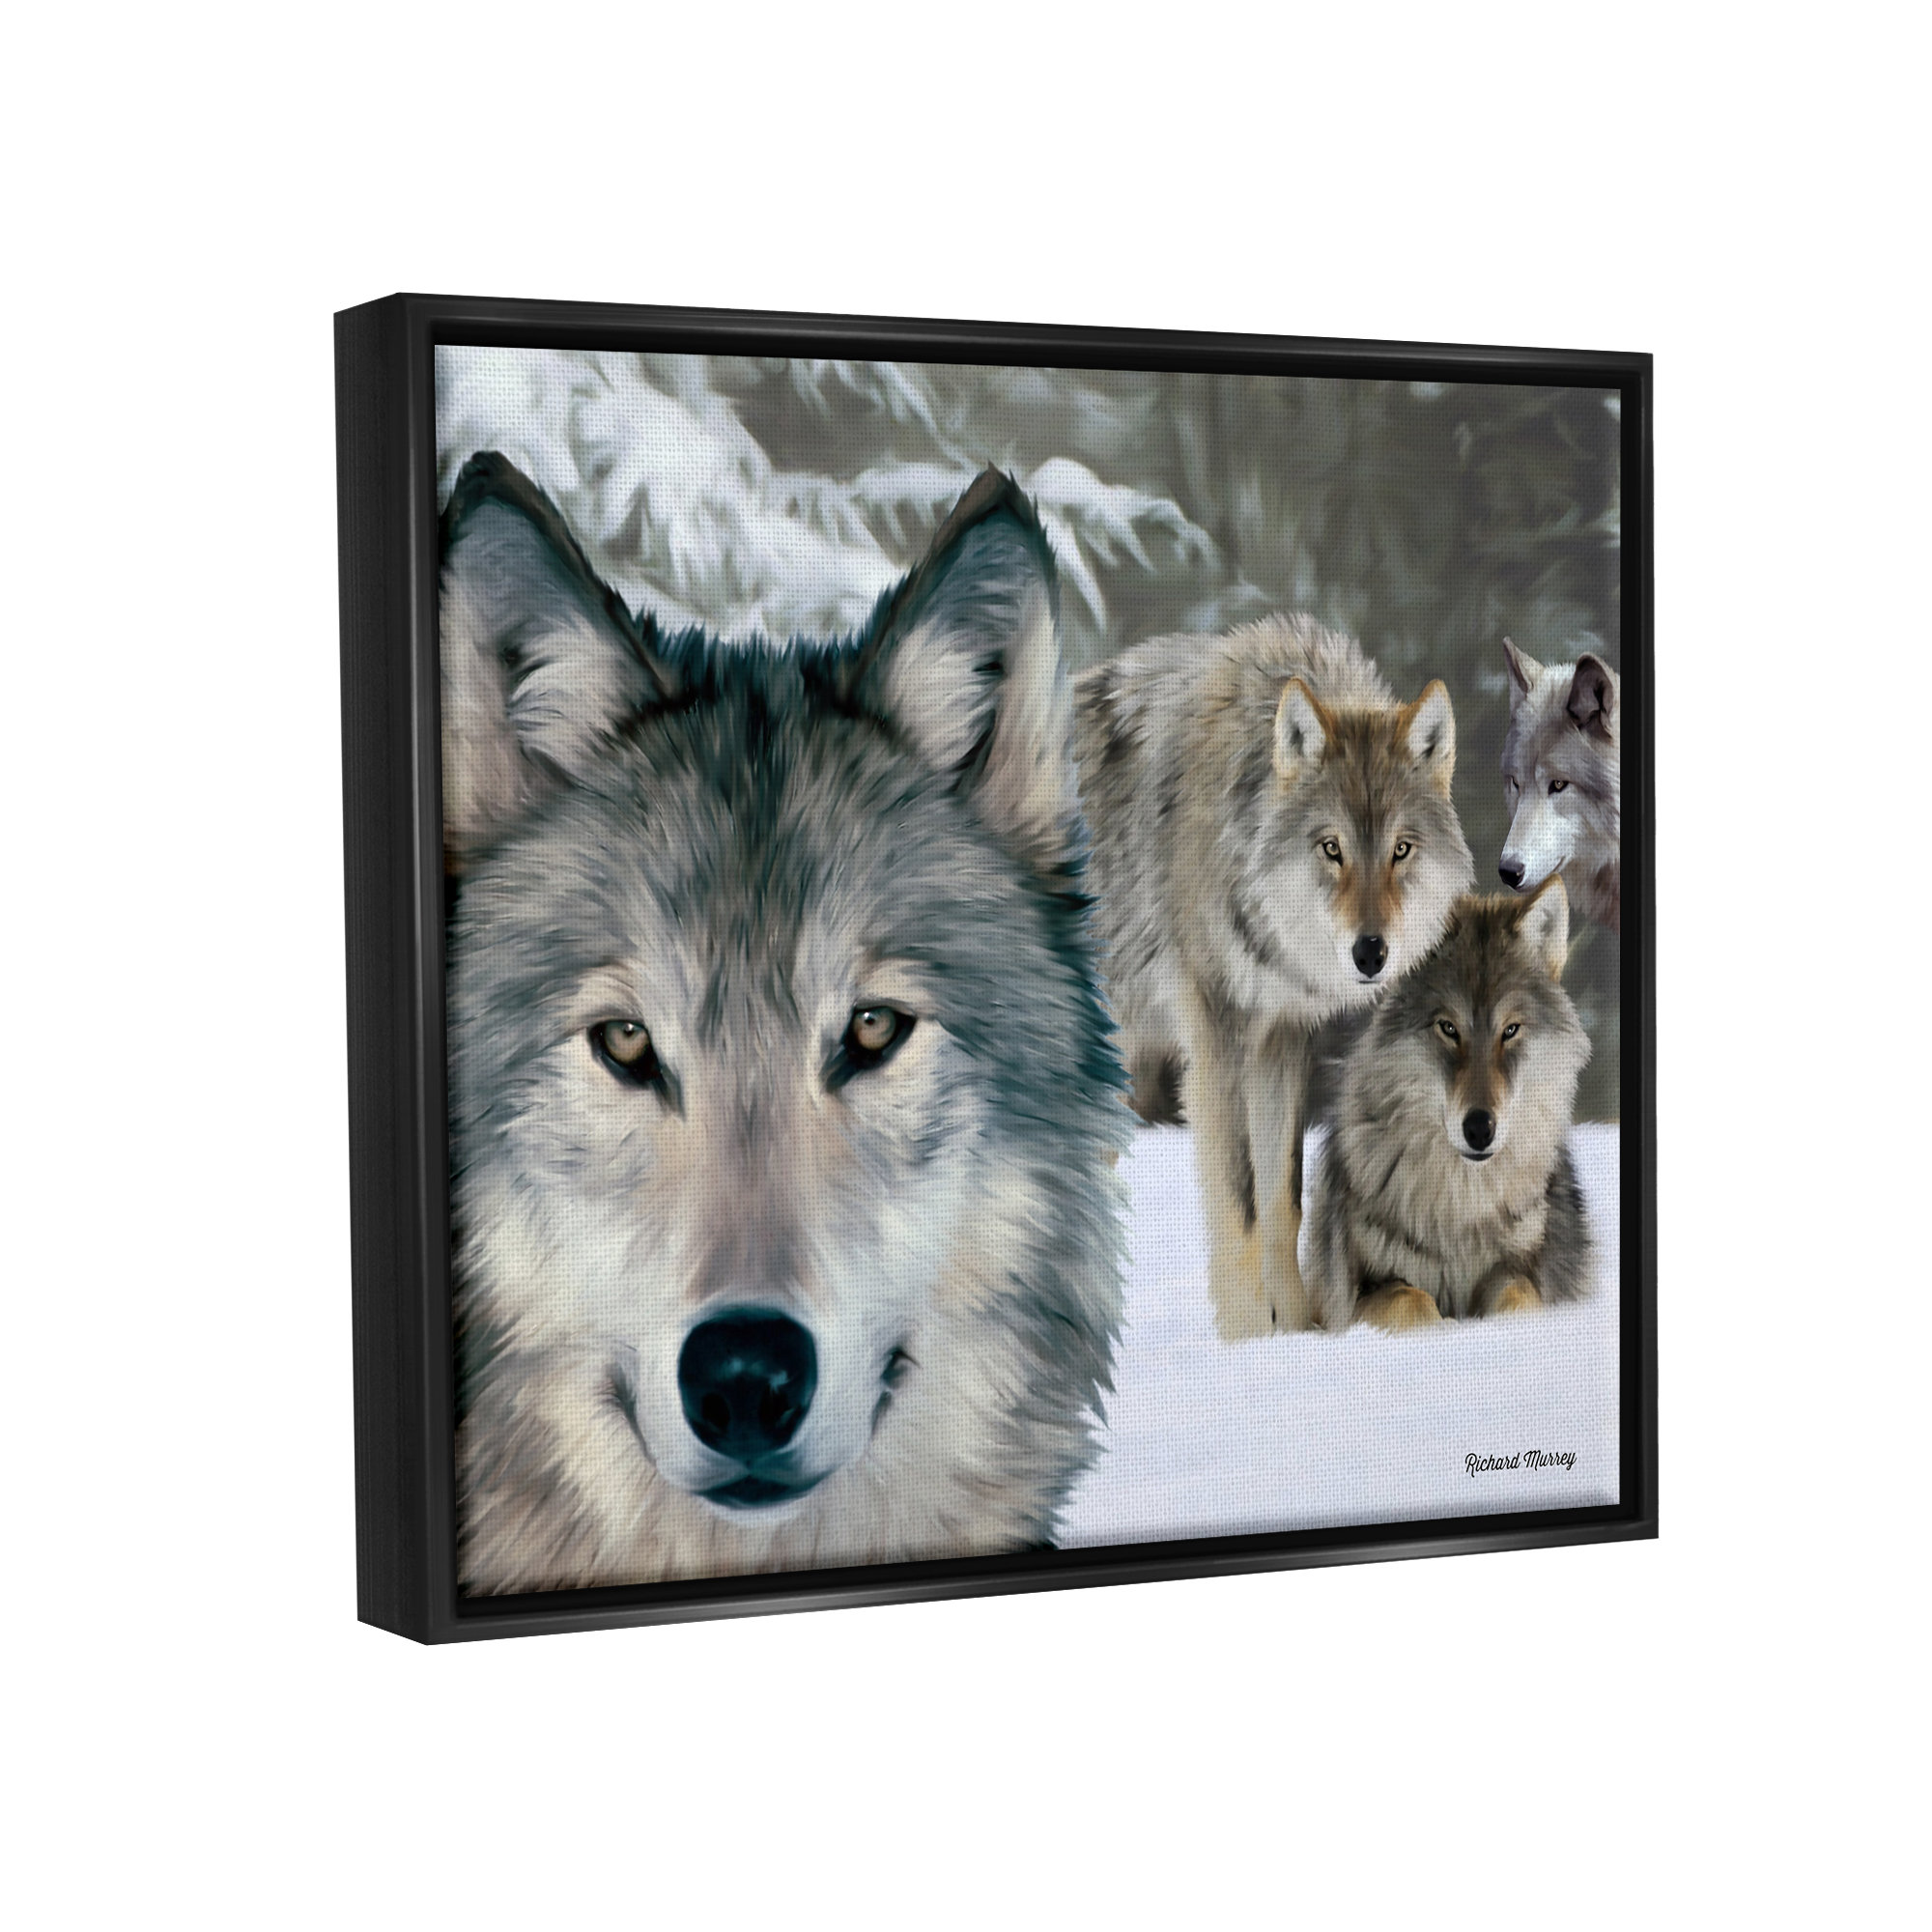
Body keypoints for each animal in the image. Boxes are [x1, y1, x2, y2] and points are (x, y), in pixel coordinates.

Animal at [1074, 616, 1474, 1339]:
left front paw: (1295, 1329)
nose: (1370, 953)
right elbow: (1240, 1206)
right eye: (1331, 847)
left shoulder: (1283, 1037)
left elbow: (1283, 1200)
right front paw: (1246, 1338)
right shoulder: (1217, 1035)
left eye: (1400, 850)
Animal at [1306, 878, 1593, 1331]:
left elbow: (1521, 1296)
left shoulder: (1521, 1268)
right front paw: (1444, 1329)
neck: (1463, 1209)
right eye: (1448, 1028)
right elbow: (1411, 1300)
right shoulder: (1359, 1295)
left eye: (1510, 1030)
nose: (1479, 1128)